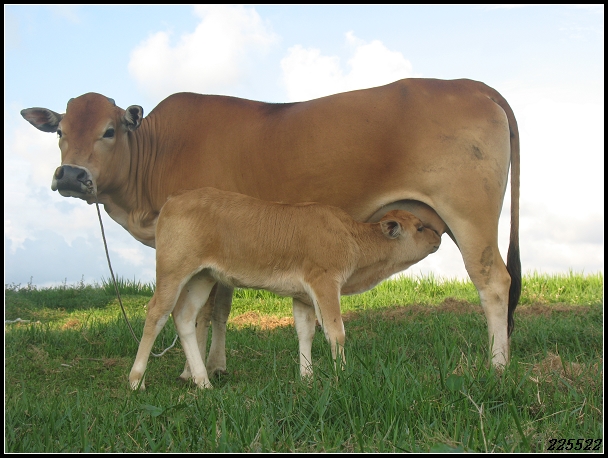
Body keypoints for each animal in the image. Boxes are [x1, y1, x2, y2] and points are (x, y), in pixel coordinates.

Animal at [128, 187, 442, 389]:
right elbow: (336, 332)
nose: (439, 236)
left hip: (202, 276)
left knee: (184, 317)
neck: (351, 238)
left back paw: (203, 381)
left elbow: (305, 333)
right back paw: (136, 380)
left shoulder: (302, 295)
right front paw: (341, 376)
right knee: (156, 313)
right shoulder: (325, 281)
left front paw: (307, 378)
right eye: (419, 227)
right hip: (173, 270)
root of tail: (174, 199)